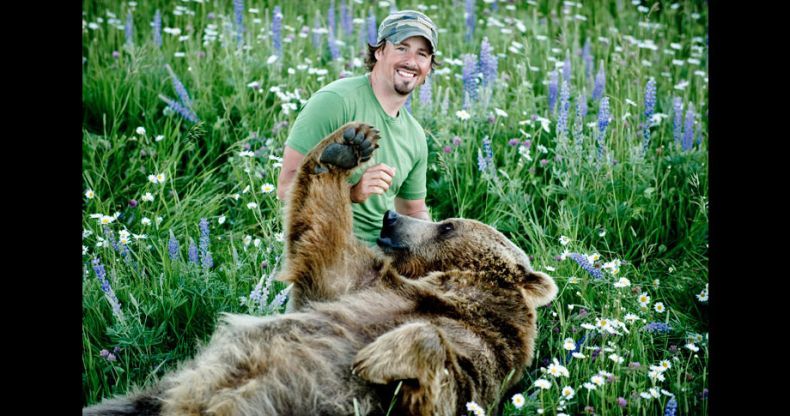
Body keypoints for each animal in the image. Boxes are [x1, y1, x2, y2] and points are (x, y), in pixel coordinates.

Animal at [83, 122, 560, 414]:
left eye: (447, 226)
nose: (391, 217)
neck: (452, 293)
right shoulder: (362, 284)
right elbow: (323, 239)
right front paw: (347, 146)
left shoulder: (480, 358)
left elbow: (438, 382)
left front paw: (373, 356)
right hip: (148, 395)